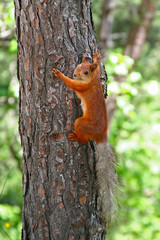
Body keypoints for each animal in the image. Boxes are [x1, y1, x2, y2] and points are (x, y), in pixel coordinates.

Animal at [52, 51, 117, 223]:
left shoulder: (83, 86)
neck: (93, 81)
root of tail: (101, 135)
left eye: (86, 72)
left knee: (83, 137)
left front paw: (60, 74)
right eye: (78, 66)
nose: (74, 74)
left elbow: (72, 84)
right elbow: (99, 66)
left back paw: (76, 137)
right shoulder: (97, 76)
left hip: (81, 123)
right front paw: (95, 57)